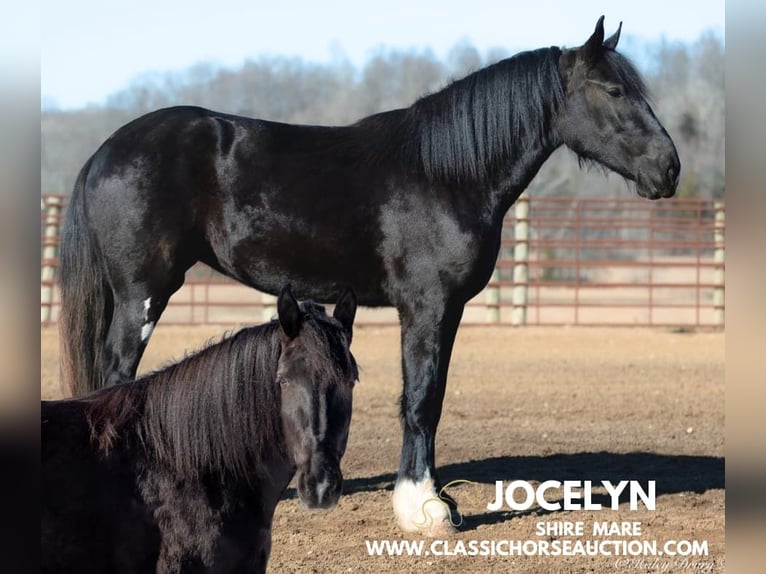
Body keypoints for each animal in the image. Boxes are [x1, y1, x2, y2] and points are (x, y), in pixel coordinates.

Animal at [60, 18, 680, 536]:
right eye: (613, 91)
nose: (669, 169)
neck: (445, 174)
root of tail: (104, 152)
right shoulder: (427, 306)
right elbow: (421, 397)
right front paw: (424, 507)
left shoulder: (448, 311)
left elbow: (433, 396)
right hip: (142, 296)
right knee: (117, 376)